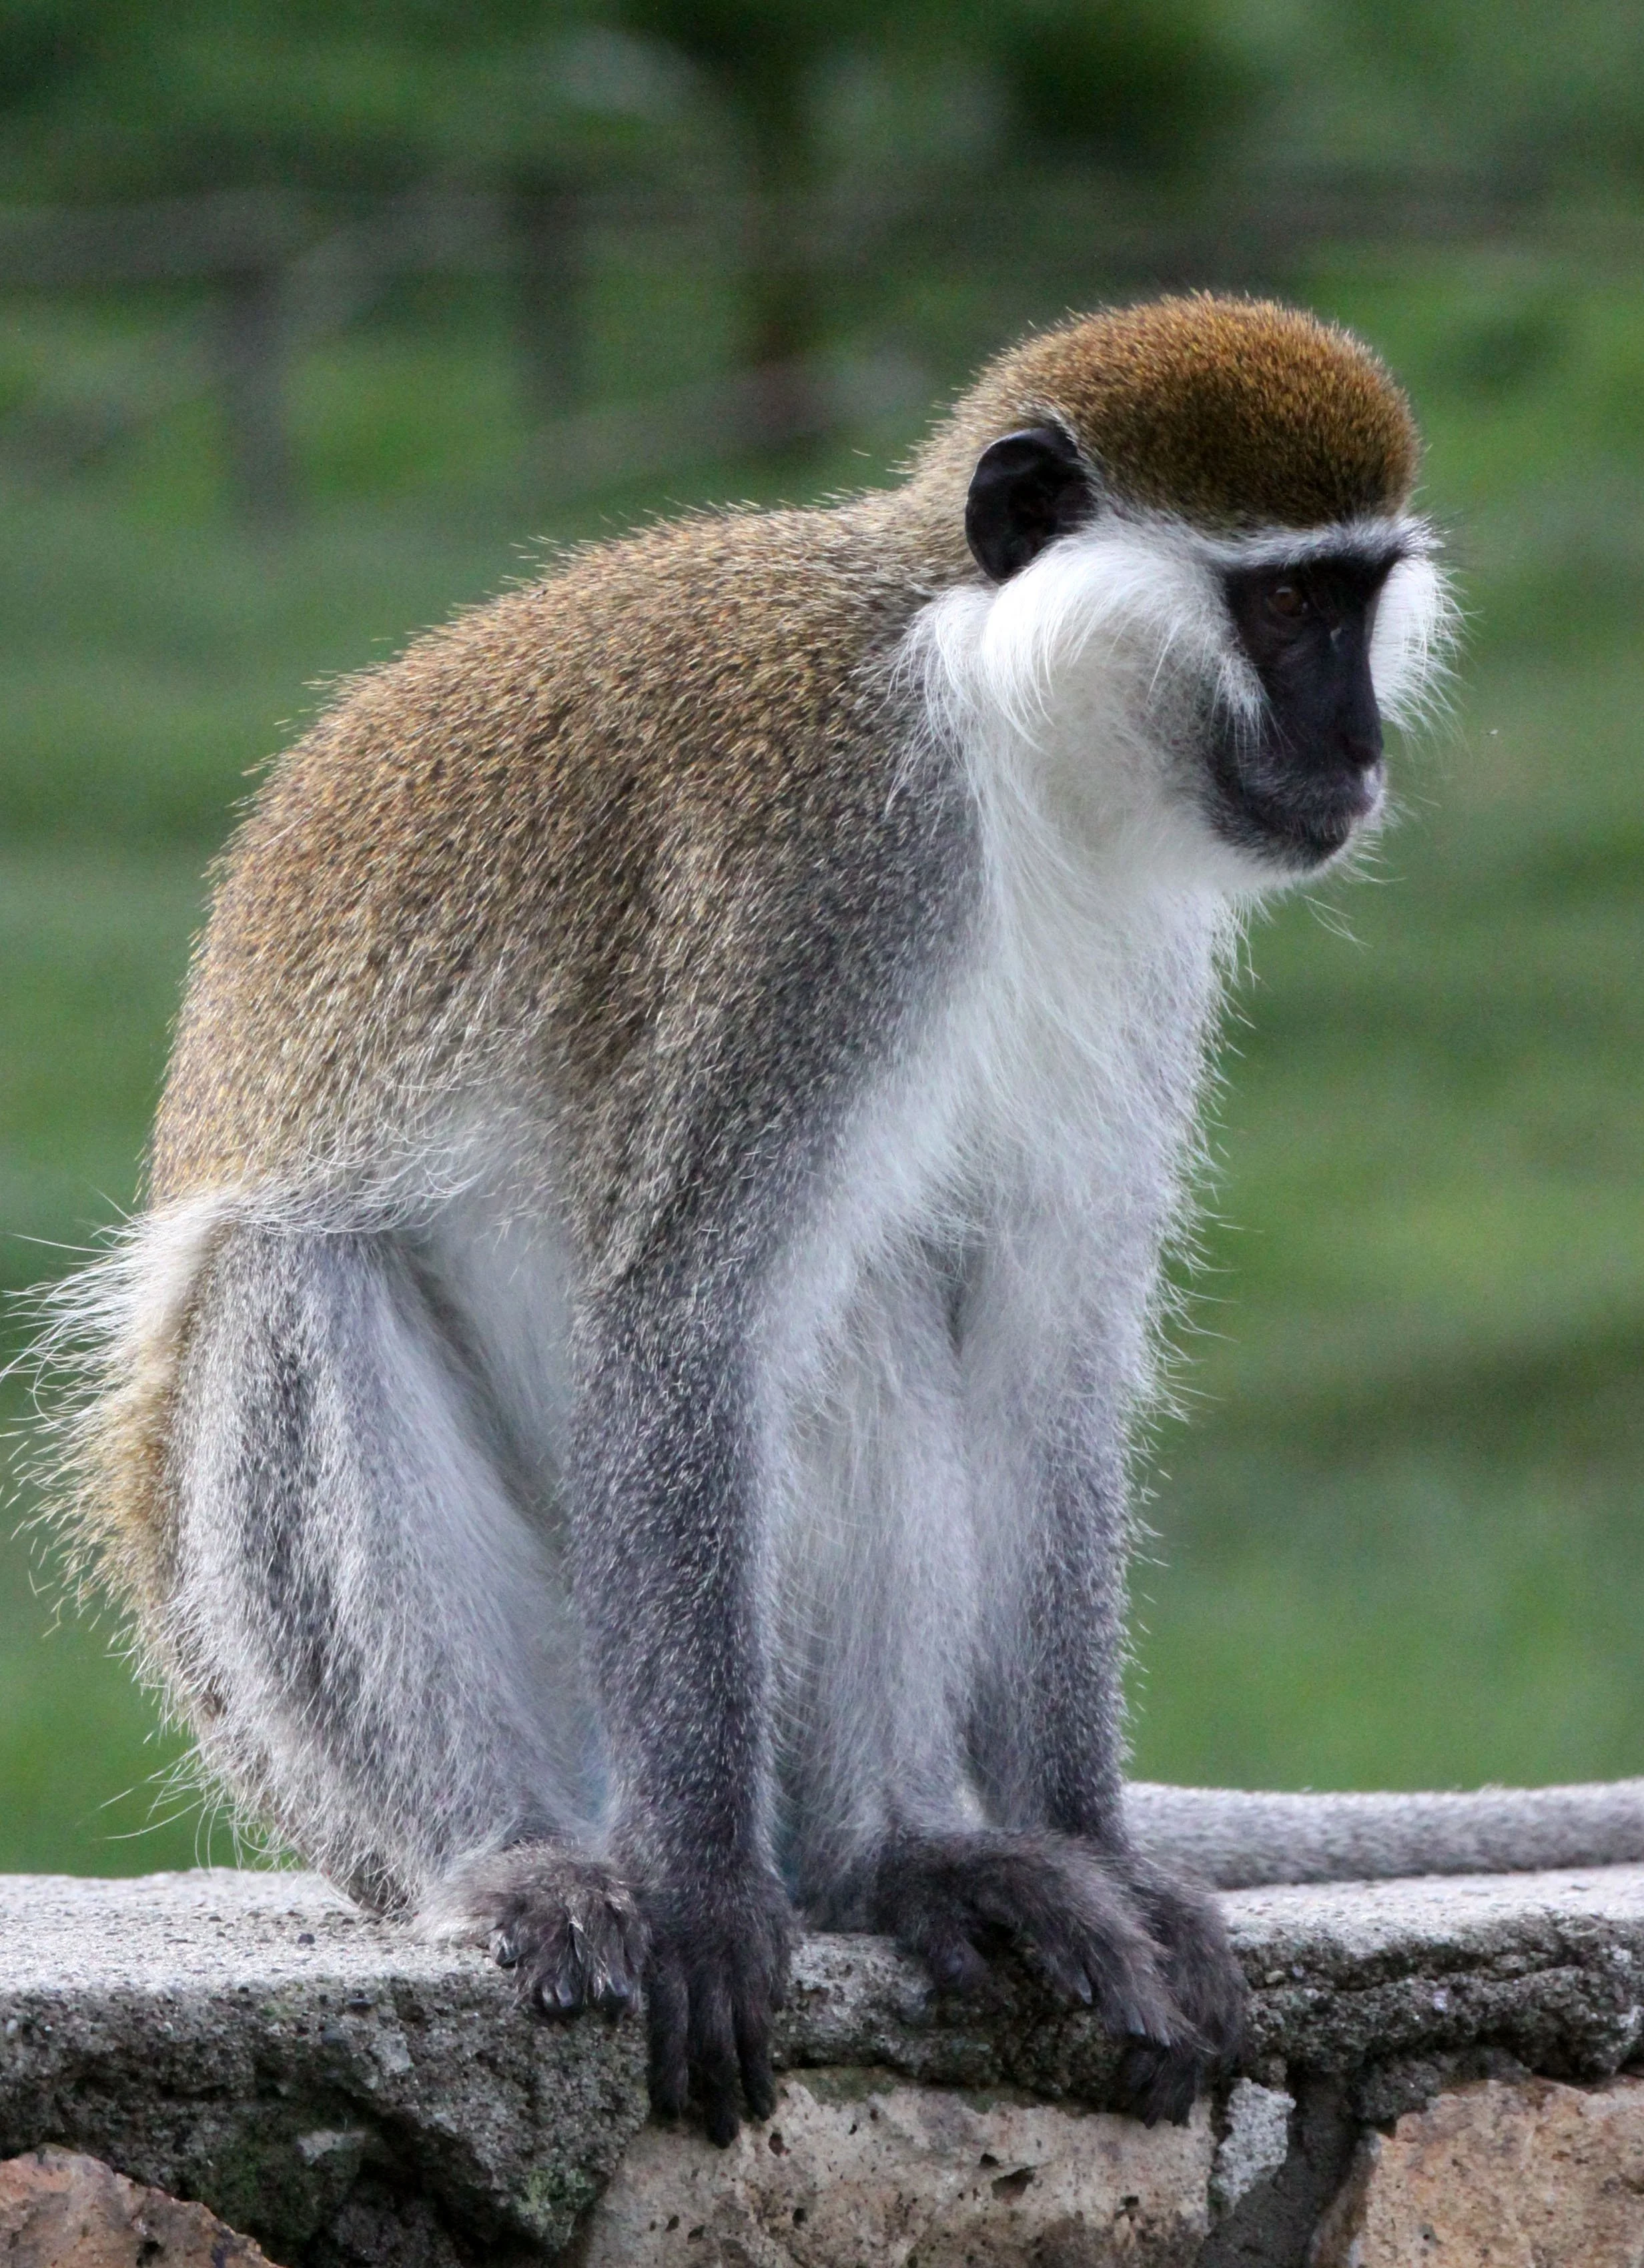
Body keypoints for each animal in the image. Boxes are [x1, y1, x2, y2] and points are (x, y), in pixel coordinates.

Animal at [36, 292, 1644, 2151]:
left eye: (1363, 592)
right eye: (1288, 605)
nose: (1357, 748)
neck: (1004, 727)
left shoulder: (1144, 944)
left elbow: (1041, 1348)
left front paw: (1097, 1846)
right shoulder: (831, 856)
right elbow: (685, 1310)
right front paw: (709, 1900)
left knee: (871, 1319)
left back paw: (903, 1855)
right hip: (316, 1720)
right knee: (299, 1277)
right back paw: (523, 1854)